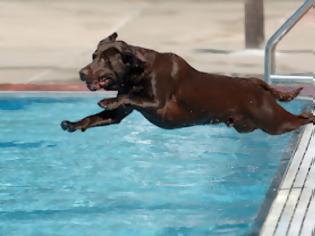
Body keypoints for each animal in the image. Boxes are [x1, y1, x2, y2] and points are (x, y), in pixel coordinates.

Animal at [61, 32, 314, 135]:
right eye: (94, 56)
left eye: (105, 60)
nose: (81, 73)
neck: (137, 71)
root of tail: (255, 83)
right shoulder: (118, 115)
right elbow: (96, 117)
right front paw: (73, 124)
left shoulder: (157, 102)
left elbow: (127, 97)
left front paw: (107, 100)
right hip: (248, 125)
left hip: (274, 122)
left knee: (302, 118)